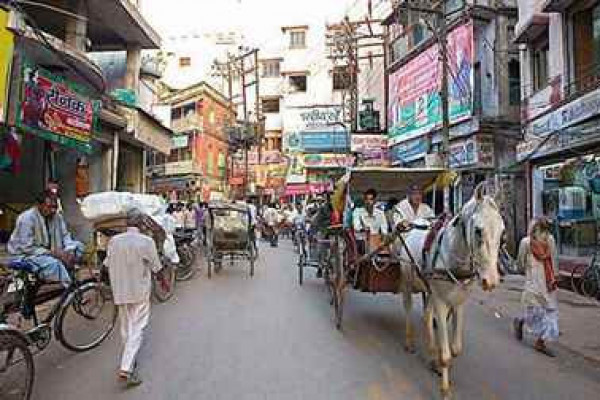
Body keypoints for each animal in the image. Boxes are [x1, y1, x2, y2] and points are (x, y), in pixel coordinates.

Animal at [396, 184, 504, 396]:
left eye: (502, 230)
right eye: (478, 230)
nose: (491, 281)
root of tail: (414, 224)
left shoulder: (460, 300)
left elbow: (455, 348)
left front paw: (439, 361)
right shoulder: (441, 301)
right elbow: (447, 354)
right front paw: (445, 389)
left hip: (429, 288)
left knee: (427, 317)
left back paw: (431, 355)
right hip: (407, 280)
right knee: (407, 307)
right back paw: (409, 341)